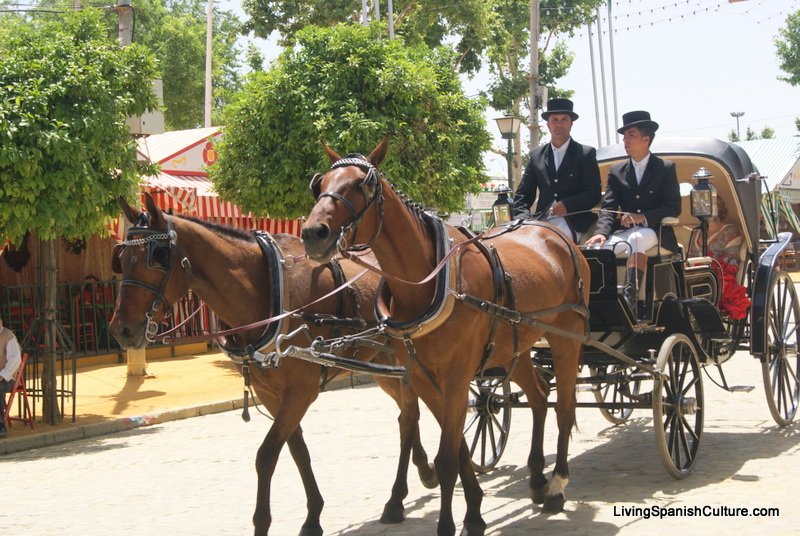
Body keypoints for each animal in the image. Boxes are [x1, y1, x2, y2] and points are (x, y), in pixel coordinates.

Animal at [108, 194, 434, 536]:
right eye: (121, 258)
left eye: (156, 257)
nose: (121, 329)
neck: (267, 289)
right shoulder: (271, 393)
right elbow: (297, 449)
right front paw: (313, 516)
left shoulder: (300, 391)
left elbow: (266, 455)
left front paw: (264, 522)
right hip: (384, 367)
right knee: (407, 416)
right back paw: (423, 471)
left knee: (412, 415)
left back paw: (398, 497)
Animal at [304, 139, 592, 536]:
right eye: (319, 184)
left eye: (364, 184)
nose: (312, 233)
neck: (428, 283)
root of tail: (555, 235)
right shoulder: (423, 377)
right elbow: (457, 448)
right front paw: (474, 513)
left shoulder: (456, 376)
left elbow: (446, 458)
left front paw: (451, 521)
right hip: (512, 348)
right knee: (538, 395)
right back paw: (536, 478)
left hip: (567, 338)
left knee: (564, 407)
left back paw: (557, 485)